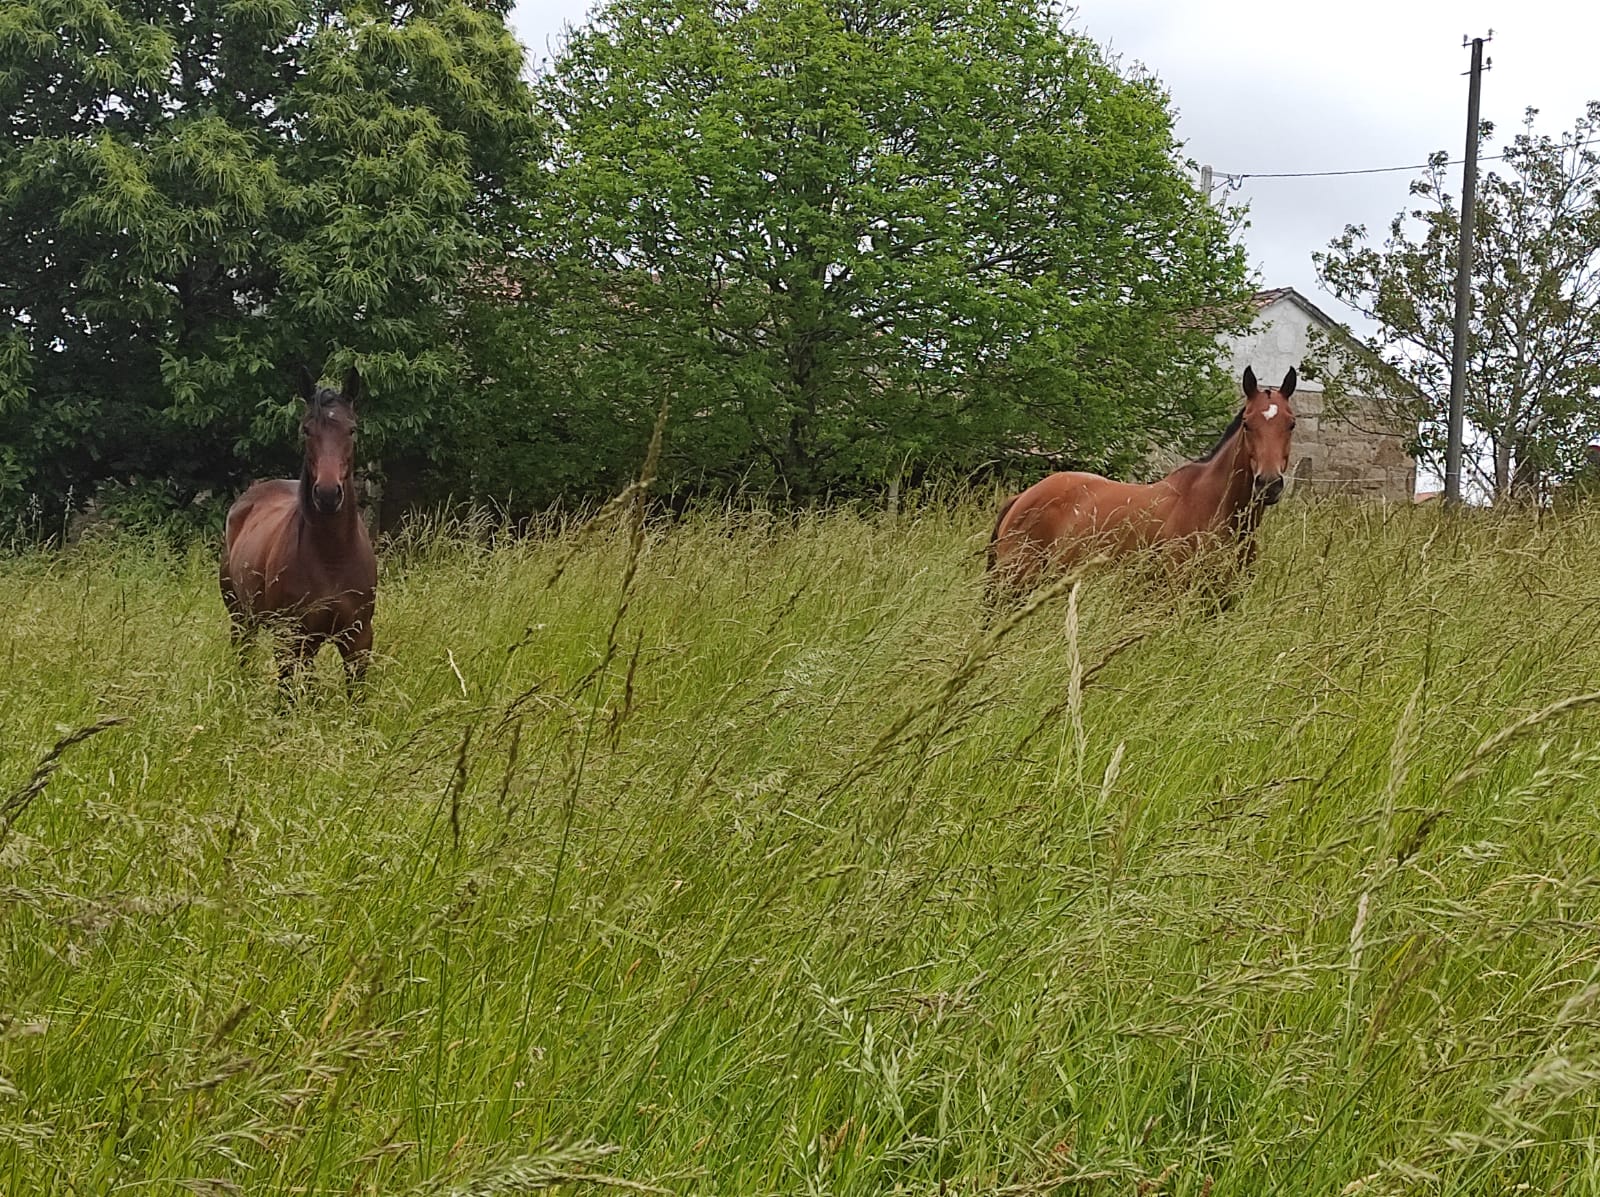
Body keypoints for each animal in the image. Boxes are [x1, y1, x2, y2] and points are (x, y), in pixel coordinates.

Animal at [219, 364, 374, 688]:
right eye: (306, 429)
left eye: (352, 430)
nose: (327, 494)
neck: (333, 556)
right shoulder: (290, 637)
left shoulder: (358, 639)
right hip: (242, 619)